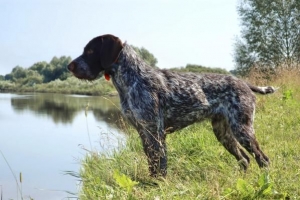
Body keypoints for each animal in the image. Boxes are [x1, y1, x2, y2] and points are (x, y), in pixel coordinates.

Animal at [67, 34, 276, 177]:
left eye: (90, 51)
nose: (69, 66)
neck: (131, 80)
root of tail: (244, 83)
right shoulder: (144, 132)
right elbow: (152, 163)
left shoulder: (155, 132)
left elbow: (160, 164)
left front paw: (159, 185)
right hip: (223, 132)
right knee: (245, 159)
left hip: (242, 129)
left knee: (262, 159)